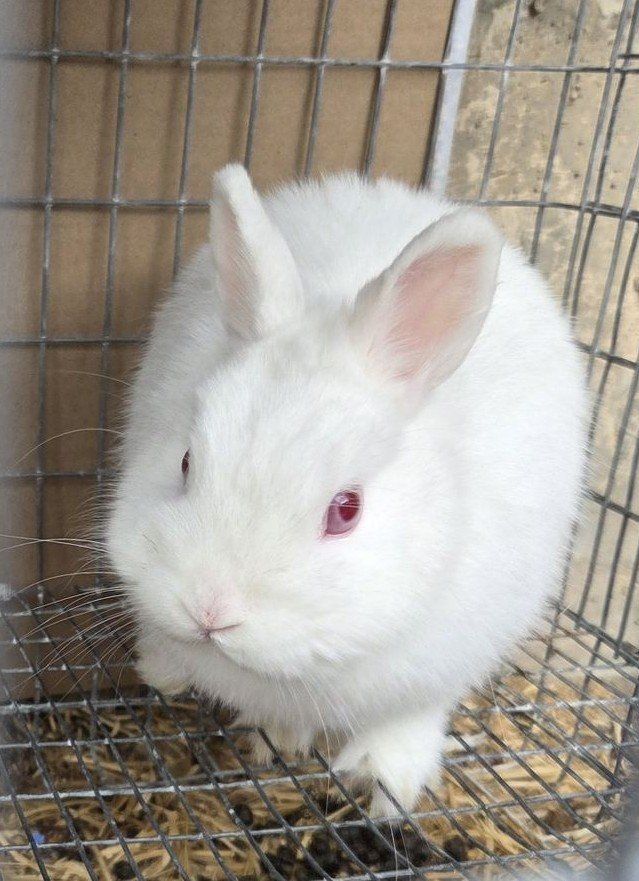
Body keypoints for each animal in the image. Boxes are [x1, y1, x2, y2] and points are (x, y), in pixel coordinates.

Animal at [106, 164, 588, 817]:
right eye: (185, 461)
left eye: (347, 510)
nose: (210, 613)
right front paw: (276, 733)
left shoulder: (451, 654)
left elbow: (413, 715)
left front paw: (383, 779)